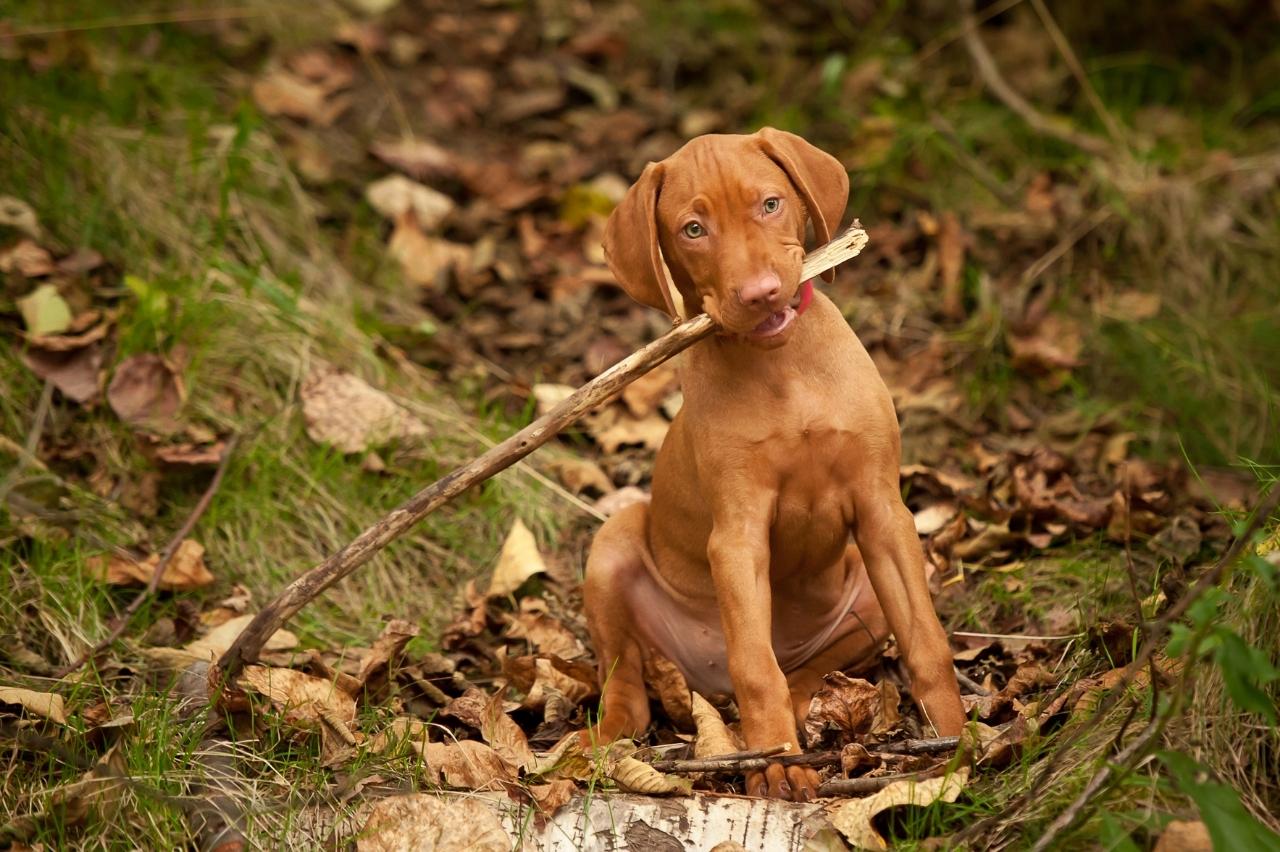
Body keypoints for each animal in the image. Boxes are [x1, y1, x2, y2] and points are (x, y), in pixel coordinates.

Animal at [581, 126, 962, 798]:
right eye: (693, 229)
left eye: (770, 204)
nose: (759, 294)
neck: (781, 368)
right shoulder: (738, 536)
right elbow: (757, 668)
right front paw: (777, 762)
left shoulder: (884, 510)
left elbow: (927, 641)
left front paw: (965, 742)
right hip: (616, 543)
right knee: (629, 674)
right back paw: (611, 737)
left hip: (867, 585)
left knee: (811, 668)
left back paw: (811, 704)